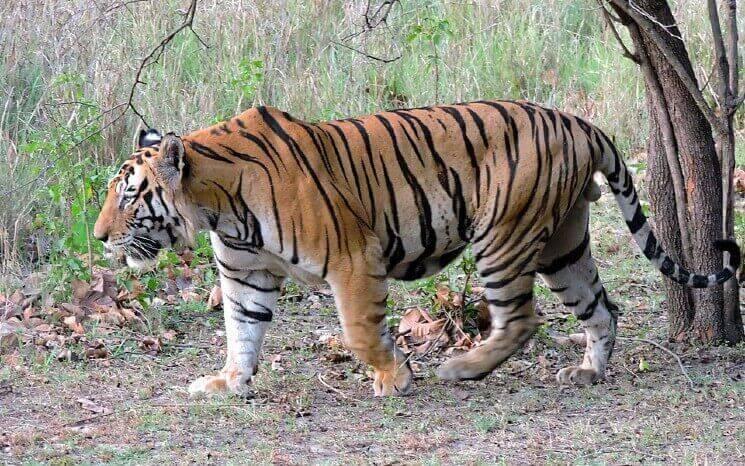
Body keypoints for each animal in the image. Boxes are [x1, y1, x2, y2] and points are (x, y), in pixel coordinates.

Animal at [93, 100, 740, 397]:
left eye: (128, 195)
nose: (98, 238)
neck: (218, 207)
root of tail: (579, 122)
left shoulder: (353, 259)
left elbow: (359, 331)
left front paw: (396, 376)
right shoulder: (246, 275)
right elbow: (242, 331)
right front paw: (228, 382)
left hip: (502, 237)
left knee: (521, 318)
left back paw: (462, 367)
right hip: (565, 245)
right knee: (603, 309)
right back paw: (587, 371)